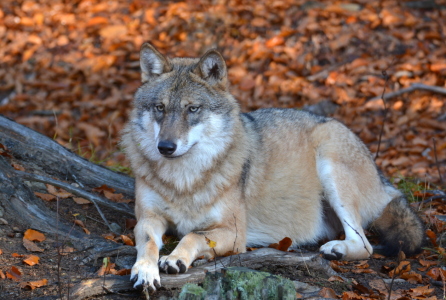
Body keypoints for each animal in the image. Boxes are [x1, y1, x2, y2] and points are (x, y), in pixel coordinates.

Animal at [120, 42, 424, 290]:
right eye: (160, 108)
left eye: (192, 109)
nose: (165, 147)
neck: (184, 180)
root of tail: (381, 177)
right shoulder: (148, 218)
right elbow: (148, 243)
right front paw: (144, 270)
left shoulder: (234, 234)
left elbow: (192, 236)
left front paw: (175, 260)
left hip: (330, 163)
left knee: (365, 245)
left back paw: (336, 250)